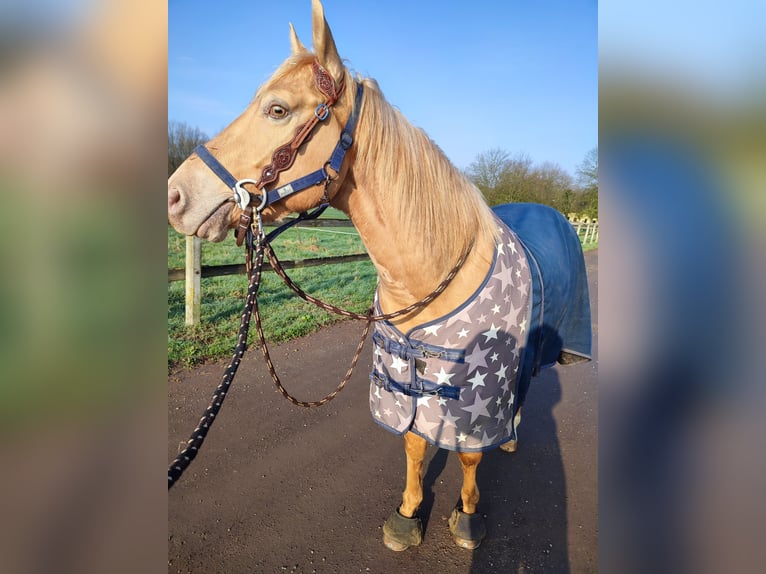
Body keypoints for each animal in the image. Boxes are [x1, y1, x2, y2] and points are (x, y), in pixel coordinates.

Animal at [170, 0, 592, 552]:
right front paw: (408, 514)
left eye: (277, 110)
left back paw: (512, 436)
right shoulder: (404, 374)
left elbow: (469, 452)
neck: (429, 275)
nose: (176, 196)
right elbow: (413, 444)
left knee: (521, 395)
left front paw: (467, 516)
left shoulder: (475, 387)